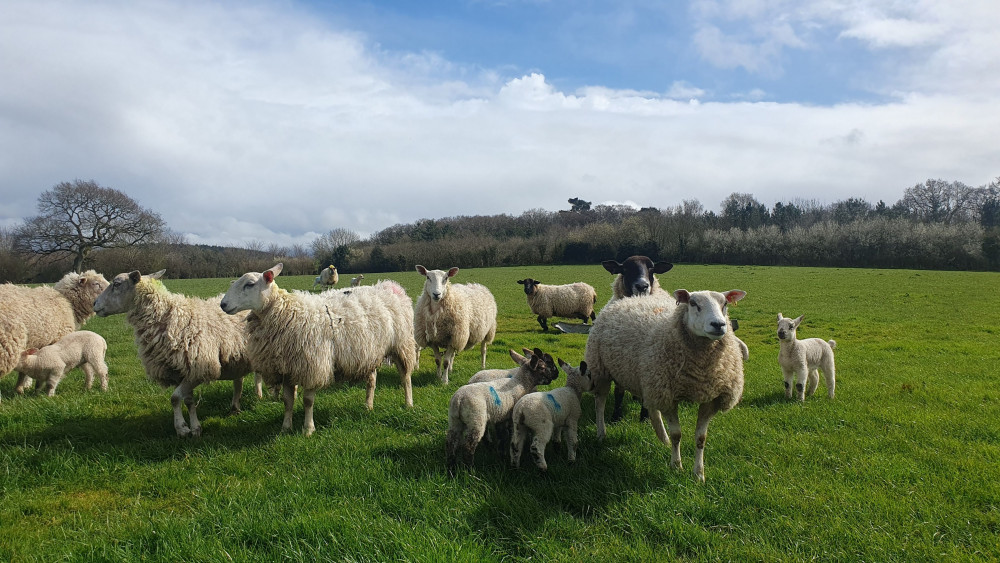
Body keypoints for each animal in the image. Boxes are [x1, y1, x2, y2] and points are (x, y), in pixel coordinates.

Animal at [94, 270, 254, 440]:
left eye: (116, 284)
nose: (94, 304)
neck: (169, 318)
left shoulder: (199, 369)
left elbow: (175, 398)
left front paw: (181, 428)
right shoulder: (181, 372)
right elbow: (189, 401)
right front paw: (195, 428)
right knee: (238, 381)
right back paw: (235, 408)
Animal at [221, 264, 416, 436]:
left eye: (250, 284)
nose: (223, 304)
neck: (286, 312)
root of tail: (390, 286)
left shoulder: (312, 365)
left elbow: (308, 401)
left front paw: (308, 429)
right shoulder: (287, 367)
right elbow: (287, 401)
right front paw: (285, 427)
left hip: (402, 343)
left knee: (405, 377)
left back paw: (408, 404)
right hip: (369, 351)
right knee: (372, 380)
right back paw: (368, 405)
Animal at [584, 288, 752, 482]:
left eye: (725, 303)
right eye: (693, 303)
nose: (718, 325)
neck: (700, 372)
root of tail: (627, 299)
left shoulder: (711, 398)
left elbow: (701, 438)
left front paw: (698, 474)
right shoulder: (668, 397)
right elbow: (676, 435)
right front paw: (676, 466)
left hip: (648, 379)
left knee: (651, 408)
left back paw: (662, 438)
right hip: (601, 370)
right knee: (600, 403)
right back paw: (601, 433)